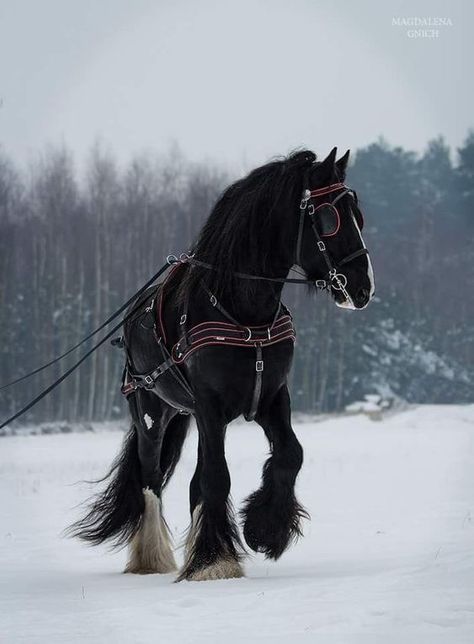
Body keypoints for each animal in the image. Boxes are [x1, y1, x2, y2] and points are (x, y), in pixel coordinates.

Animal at [70, 148, 374, 580]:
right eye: (330, 218)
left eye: (358, 215)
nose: (362, 288)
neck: (243, 312)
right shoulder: (210, 408)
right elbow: (216, 478)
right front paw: (214, 560)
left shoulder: (270, 398)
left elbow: (290, 454)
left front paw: (264, 530)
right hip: (152, 413)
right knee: (151, 479)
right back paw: (152, 556)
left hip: (188, 415)